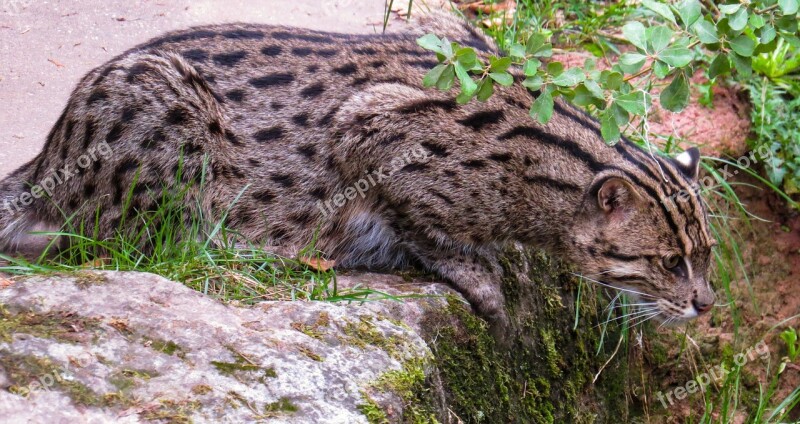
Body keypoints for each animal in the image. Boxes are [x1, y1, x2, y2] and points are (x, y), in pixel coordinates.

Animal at [0, 12, 716, 332]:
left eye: (708, 257)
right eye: (669, 263)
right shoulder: (372, 129)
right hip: (166, 114)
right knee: (123, 242)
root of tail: (47, 156)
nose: (707, 304)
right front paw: (479, 277)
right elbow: (422, 225)